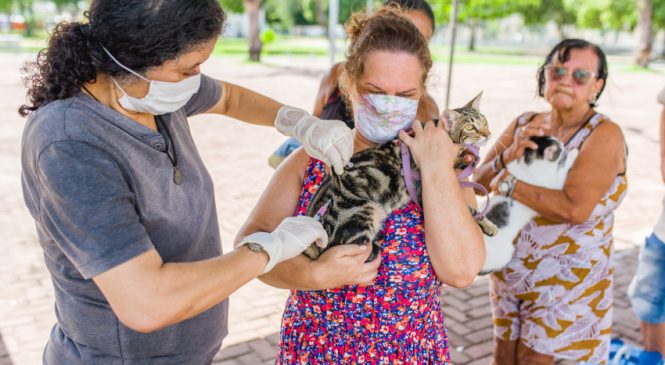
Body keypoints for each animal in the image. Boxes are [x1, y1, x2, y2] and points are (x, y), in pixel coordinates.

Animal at [304, 92, 496, 260]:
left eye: (485, 122)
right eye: (470, 127)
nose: (487, 134)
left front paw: (468, 160)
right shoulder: (422, 189)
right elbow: (471, 210)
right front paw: (489, 225)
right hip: (362, 213)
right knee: (353, 249)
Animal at [478, 136, 576, 272]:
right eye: (560, 148)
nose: (563, 143)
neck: (526, 165)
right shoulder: (552, 183)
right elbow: (562, 171)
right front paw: (573, 153)